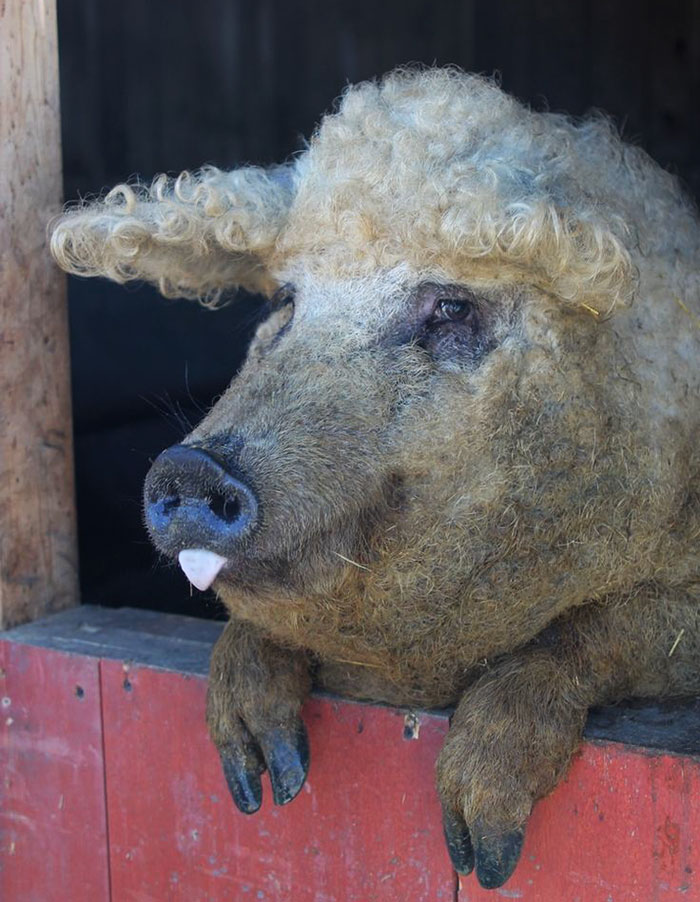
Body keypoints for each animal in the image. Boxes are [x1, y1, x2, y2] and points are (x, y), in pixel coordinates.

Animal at [51, 68, 700, 889]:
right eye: (286, 299)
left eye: (451, 307)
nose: (190, 467)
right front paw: (266, 783)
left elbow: (590, 631)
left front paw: (482, 852)